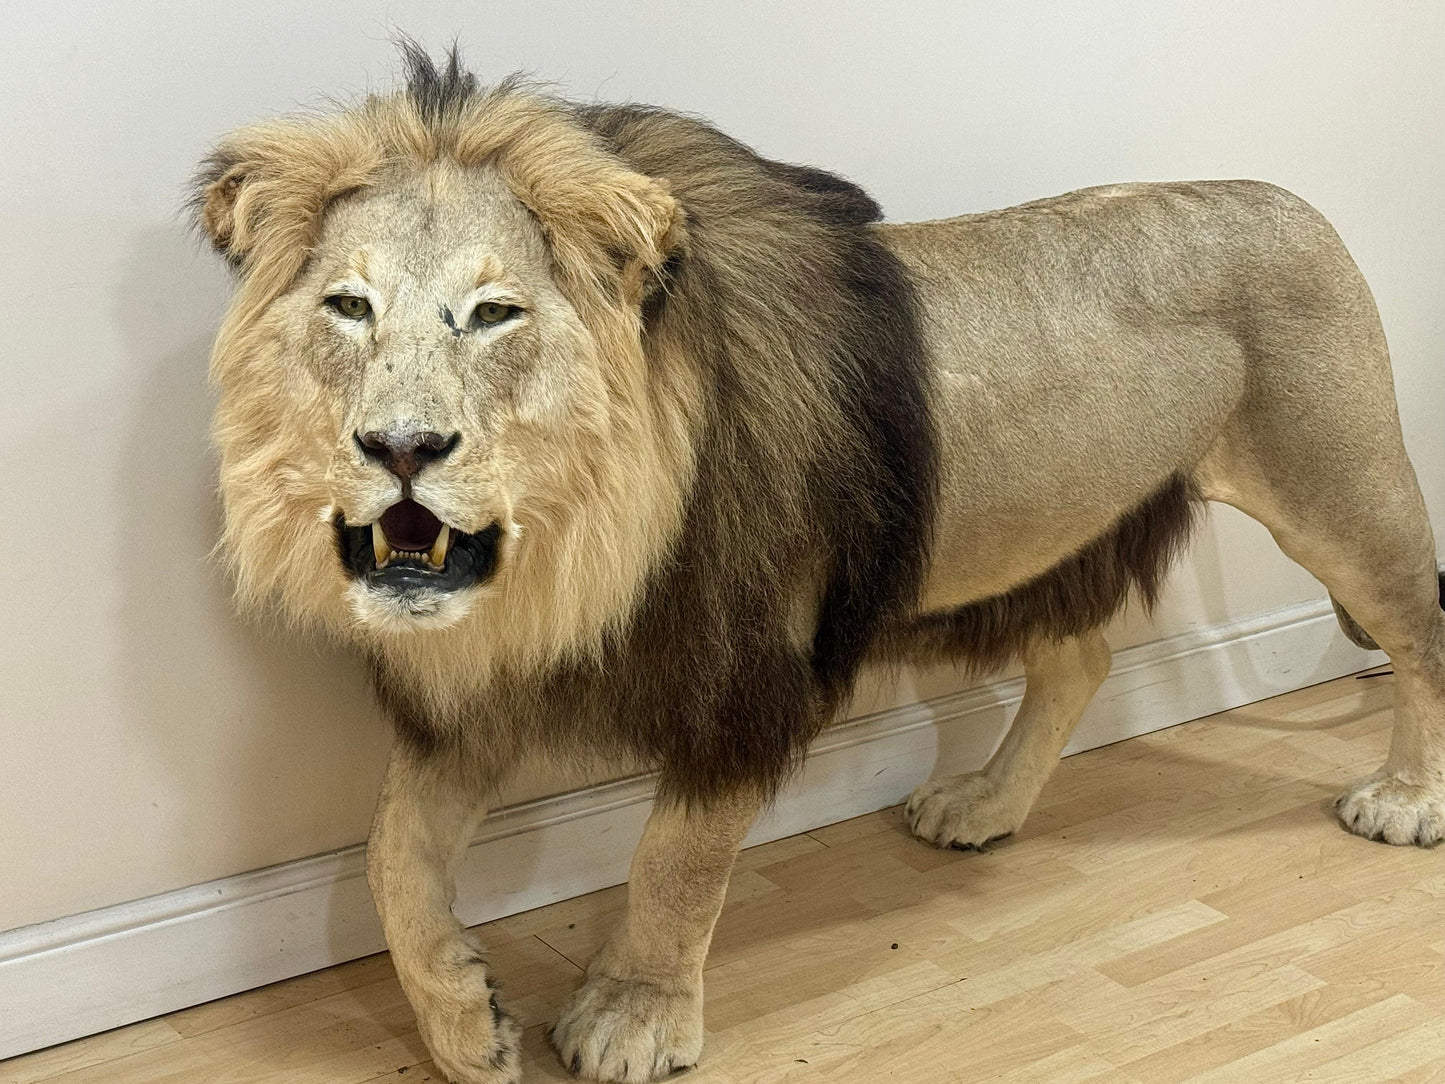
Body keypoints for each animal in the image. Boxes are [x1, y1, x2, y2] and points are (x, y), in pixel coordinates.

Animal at [194, 46, 1445, 1084]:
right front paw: (464, 1020)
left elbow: (675, 858)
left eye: (495, 312)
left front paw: (631, 1018)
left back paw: (1404, 800)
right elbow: (388, 860)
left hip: (1338, 490)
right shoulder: (478, 686)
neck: (572, 546)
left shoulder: (748, 674)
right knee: (1078, 661)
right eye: (347, 306)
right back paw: (982, 804)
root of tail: (1282, 198)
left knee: (1417, 633)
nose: (399, 448)